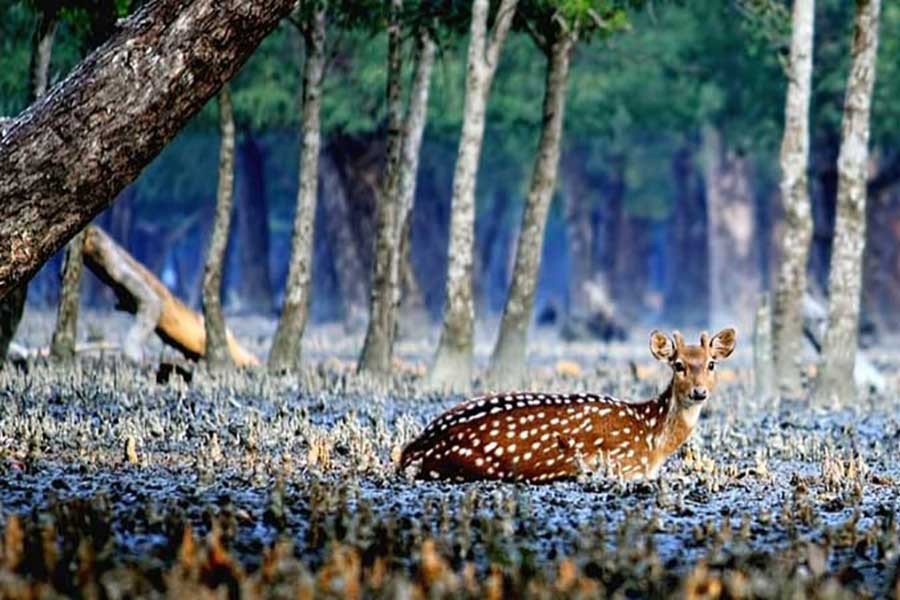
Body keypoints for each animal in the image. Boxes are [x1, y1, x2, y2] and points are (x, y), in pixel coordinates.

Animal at [402, 328, 740, 482]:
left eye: (711, 364)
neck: (651, 438)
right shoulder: (625, 464)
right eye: (678, 365)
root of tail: (413, 450)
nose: (699, 392)